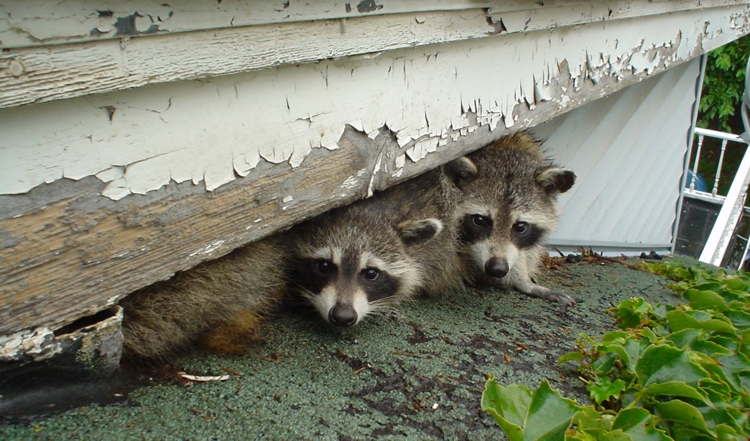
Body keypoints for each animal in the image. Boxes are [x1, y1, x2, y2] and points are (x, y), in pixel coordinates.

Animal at [444, 132, 580, 312]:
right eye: (479, 220)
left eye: (520, 227)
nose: (497, 269)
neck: (505, 149)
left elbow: (520, 254)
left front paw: (523, 281)